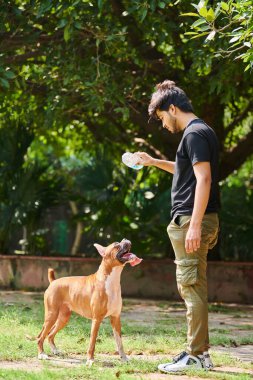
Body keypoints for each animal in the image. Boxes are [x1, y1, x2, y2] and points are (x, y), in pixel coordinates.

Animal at [37, 238, 142, 366]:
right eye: (116, 245)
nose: (126, 239)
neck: (110, 280)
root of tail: (53, 282)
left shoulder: (116, 318)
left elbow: (119, 342)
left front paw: (124, 358)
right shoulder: (96, 320)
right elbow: (92, 342)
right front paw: (90, 360)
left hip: (63, 318)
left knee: (50, 334)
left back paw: (55, 351)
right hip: (51, 315)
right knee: (41, 336)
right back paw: (42, 354)